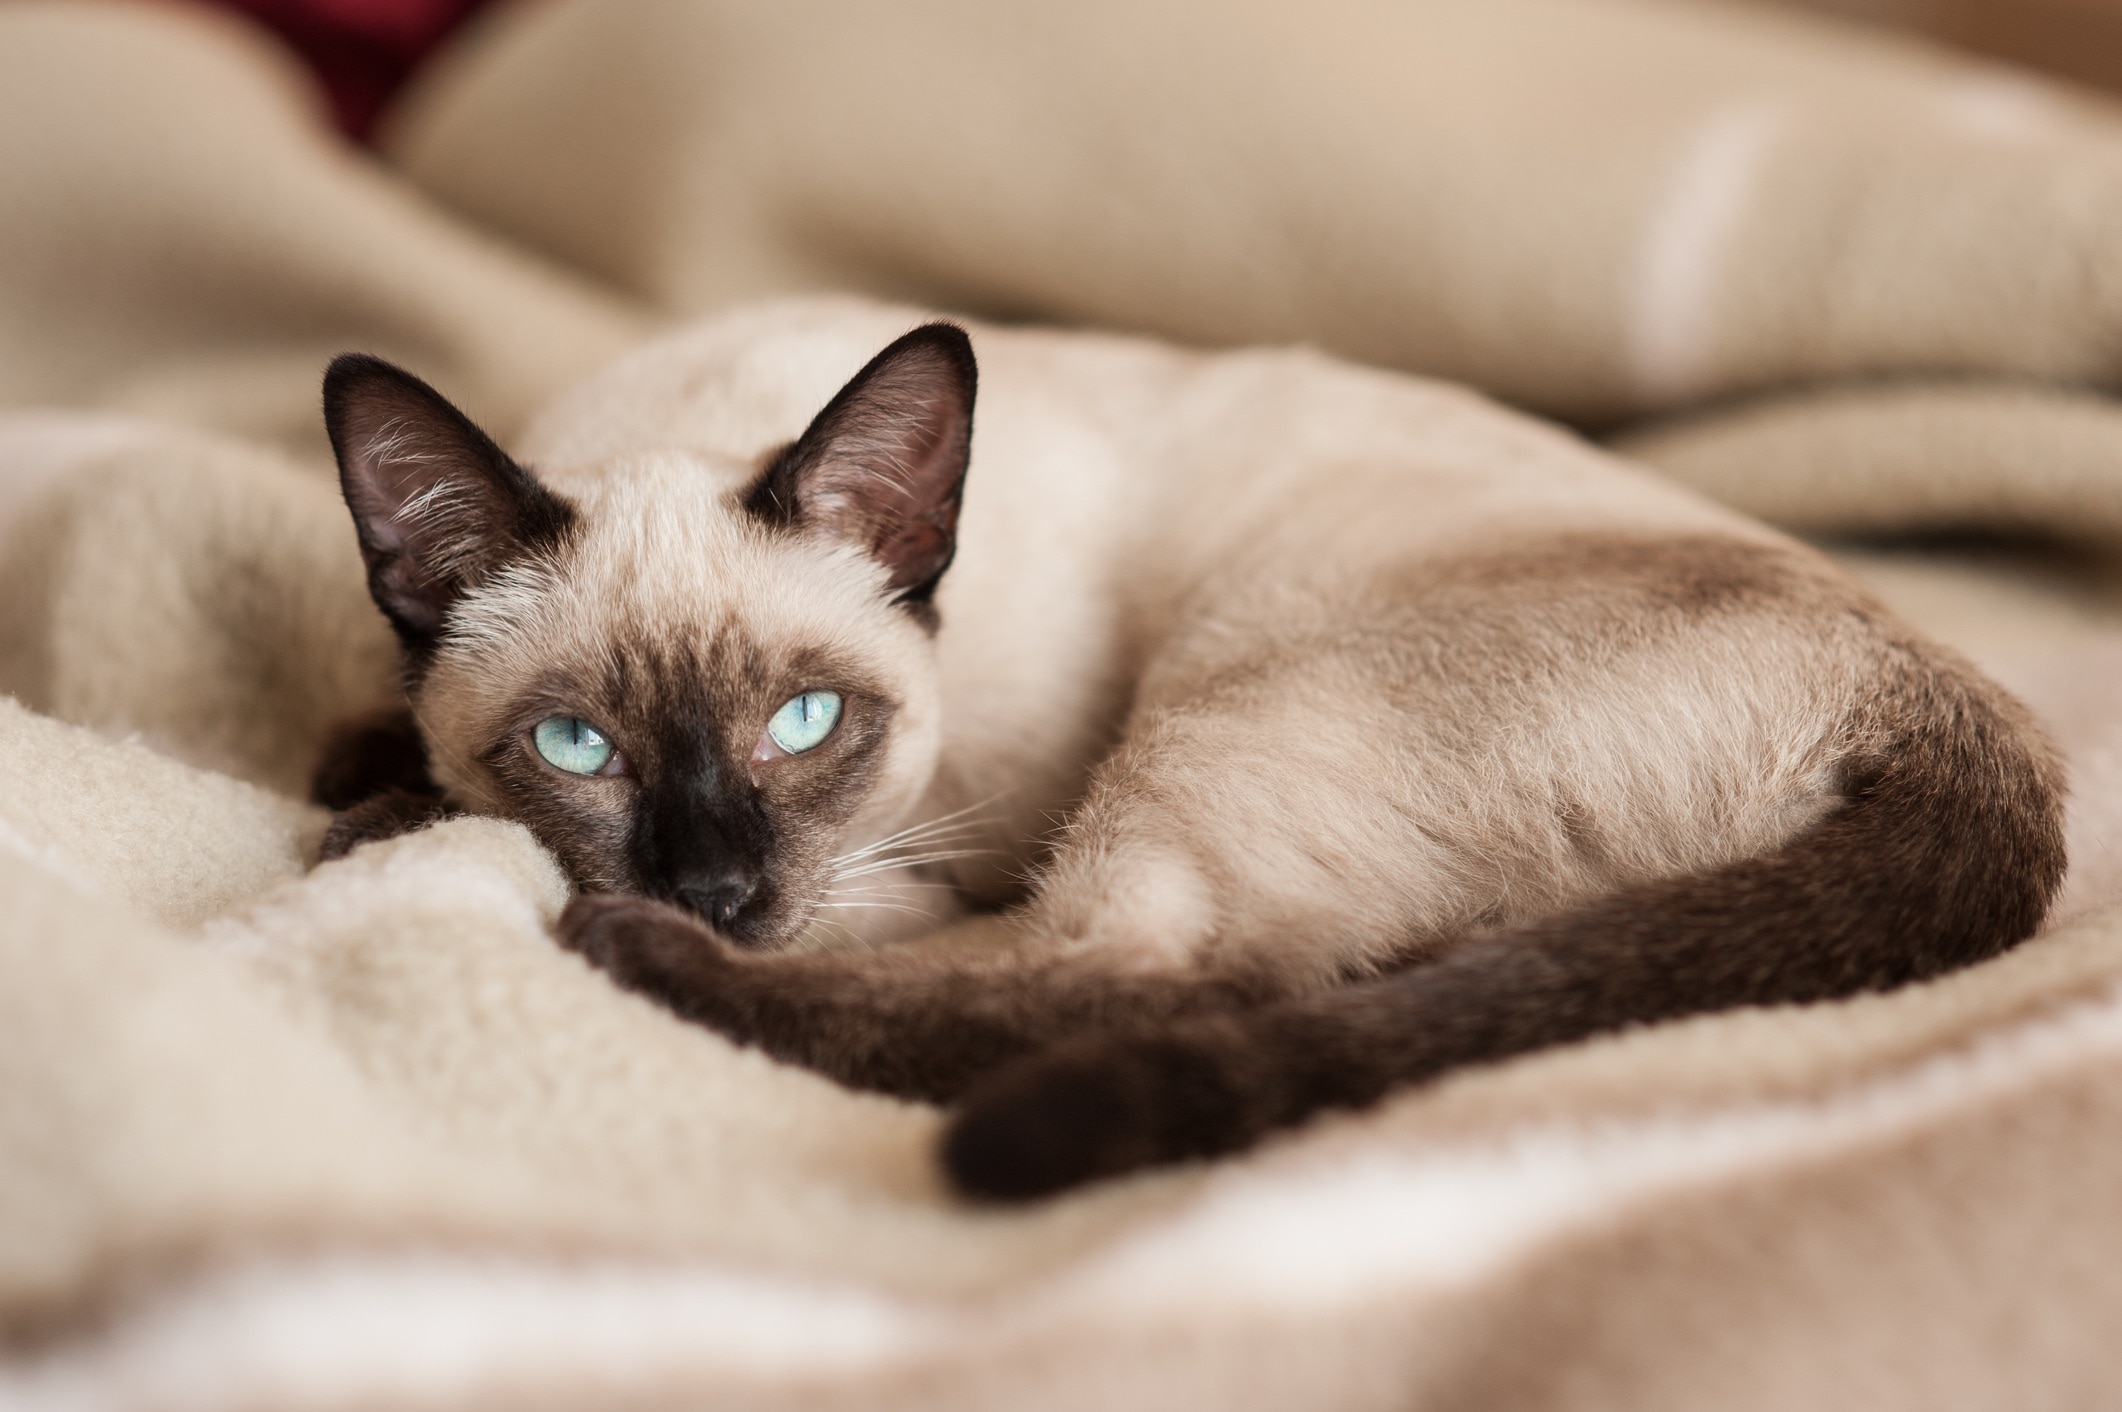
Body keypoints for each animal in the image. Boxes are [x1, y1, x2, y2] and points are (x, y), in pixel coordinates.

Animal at [322, 297, 2062, 1197]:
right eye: (576, 744)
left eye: (804, 723)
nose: (714, 893)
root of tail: (1940, 691)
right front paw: (363, 771)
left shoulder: (924, 854)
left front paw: (386, 822)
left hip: (1230, 696)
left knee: (1161, 980)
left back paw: (638, 958)